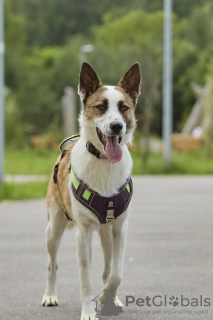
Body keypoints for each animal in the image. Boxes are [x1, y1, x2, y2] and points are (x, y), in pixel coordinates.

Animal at [41, 62, 141, 320]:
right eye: (101, 107)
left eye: (124, 107)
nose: (116, 126)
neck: (104, 161)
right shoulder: (83, 233)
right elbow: (86, 279)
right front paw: (88, 311)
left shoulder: (120, 229)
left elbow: (116, 273)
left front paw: (107, 297)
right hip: (53, 228)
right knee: (51, 264)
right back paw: (49, 296)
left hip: (106, 234)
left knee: (108, 268)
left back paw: (113, 299)